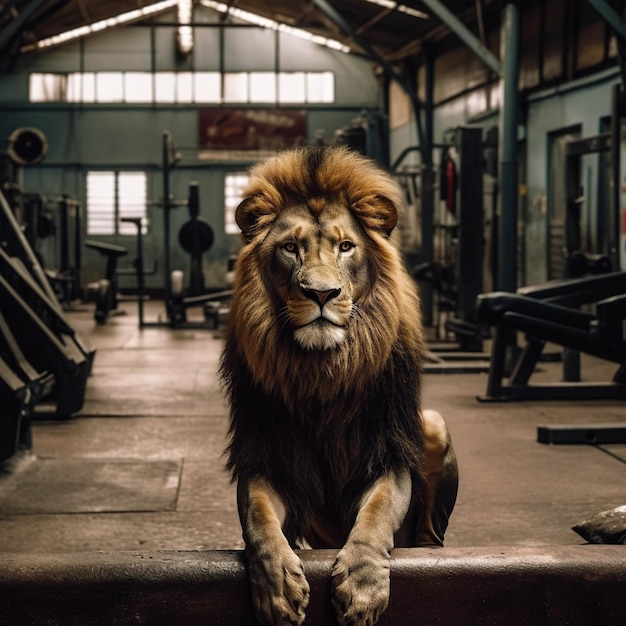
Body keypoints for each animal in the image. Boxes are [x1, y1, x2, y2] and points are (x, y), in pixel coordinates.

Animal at [219, 144, 458, 620]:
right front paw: (278, 586)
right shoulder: (267, 456)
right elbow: (258, 520)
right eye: (290, 248)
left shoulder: (388, 452)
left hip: (432, 425)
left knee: (429, 534)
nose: (321, 293)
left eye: (345, 246)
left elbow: (376, 516)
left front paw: (363, 586)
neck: (323, 373)